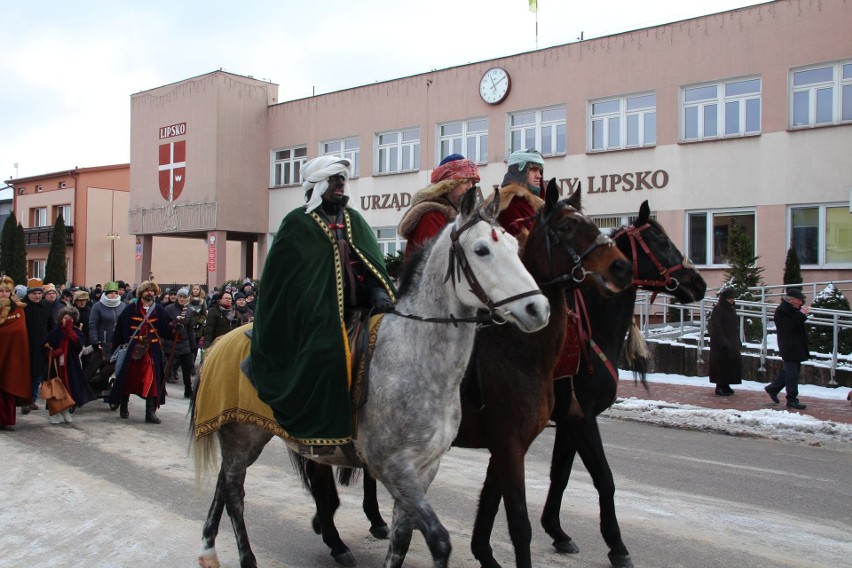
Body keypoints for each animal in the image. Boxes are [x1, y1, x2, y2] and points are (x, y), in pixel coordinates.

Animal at [191, 187, 552, 568]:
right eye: (481, 250)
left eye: (513, 244)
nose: (538, 309)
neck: (419, 362)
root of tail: (217, 344)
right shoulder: (394, 467)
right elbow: (439, 540)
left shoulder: (425, 468)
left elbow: (402, 539)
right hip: (242, 436)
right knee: (234, 493)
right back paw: (248, 557)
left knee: (223, 484)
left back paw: (209, 549)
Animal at [544, 201, 708, 568]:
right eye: (659, 240)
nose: (699, 283)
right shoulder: (582, 418)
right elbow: (604, 479)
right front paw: (617, 545)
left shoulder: (570, 419)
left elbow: (560, 474)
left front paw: (556, 531)